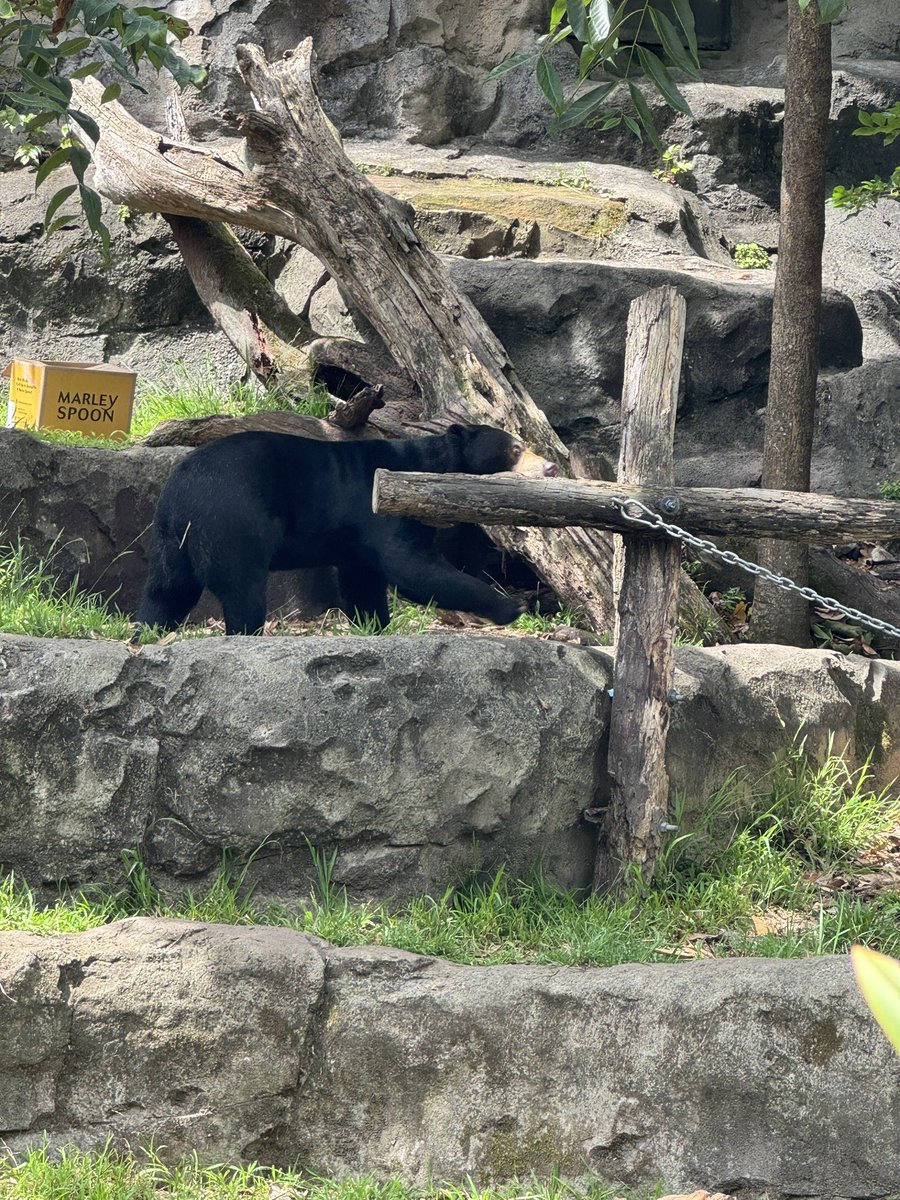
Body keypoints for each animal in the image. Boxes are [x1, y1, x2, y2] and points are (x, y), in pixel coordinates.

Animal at [136, 423, 559, 635]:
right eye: (516, 448)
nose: (551, 466)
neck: (432, 469)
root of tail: (181, 491)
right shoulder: (381, 506)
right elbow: (414, 570)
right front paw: (511, 606)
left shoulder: (358, 536)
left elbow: (363, 579)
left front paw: (375, 626)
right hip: (234, 521)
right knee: (242, 588)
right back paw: (245, 634)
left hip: (170, 540)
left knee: (166, 591)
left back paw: (148, 633)